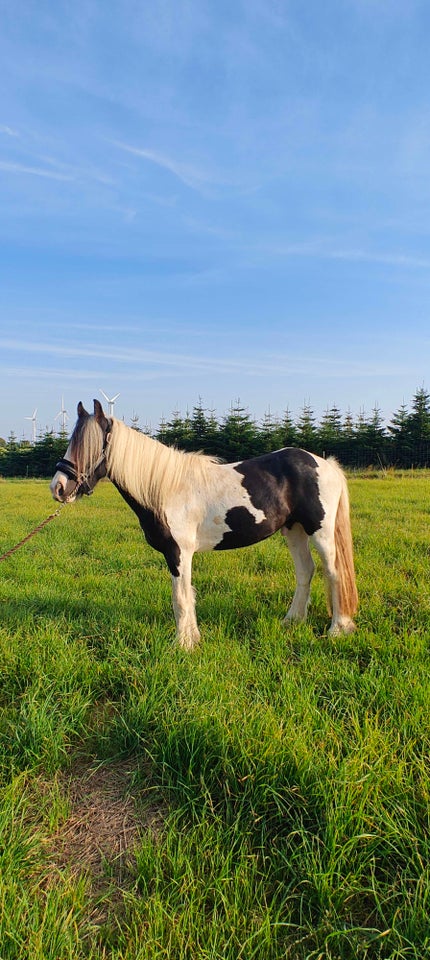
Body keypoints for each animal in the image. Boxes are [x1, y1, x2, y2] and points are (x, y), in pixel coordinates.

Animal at [50, 402, 358, 648]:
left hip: (320, 532)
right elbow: (187, 595)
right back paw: (292, 621)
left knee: (334, 573)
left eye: (91, 446)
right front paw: (192, 639)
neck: (166, 488)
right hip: (294, 530)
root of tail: (324, 464)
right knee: (305, 571)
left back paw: (337, 629)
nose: (58, 488)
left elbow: (180, 598)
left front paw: (183, 645)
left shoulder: (179, 553)